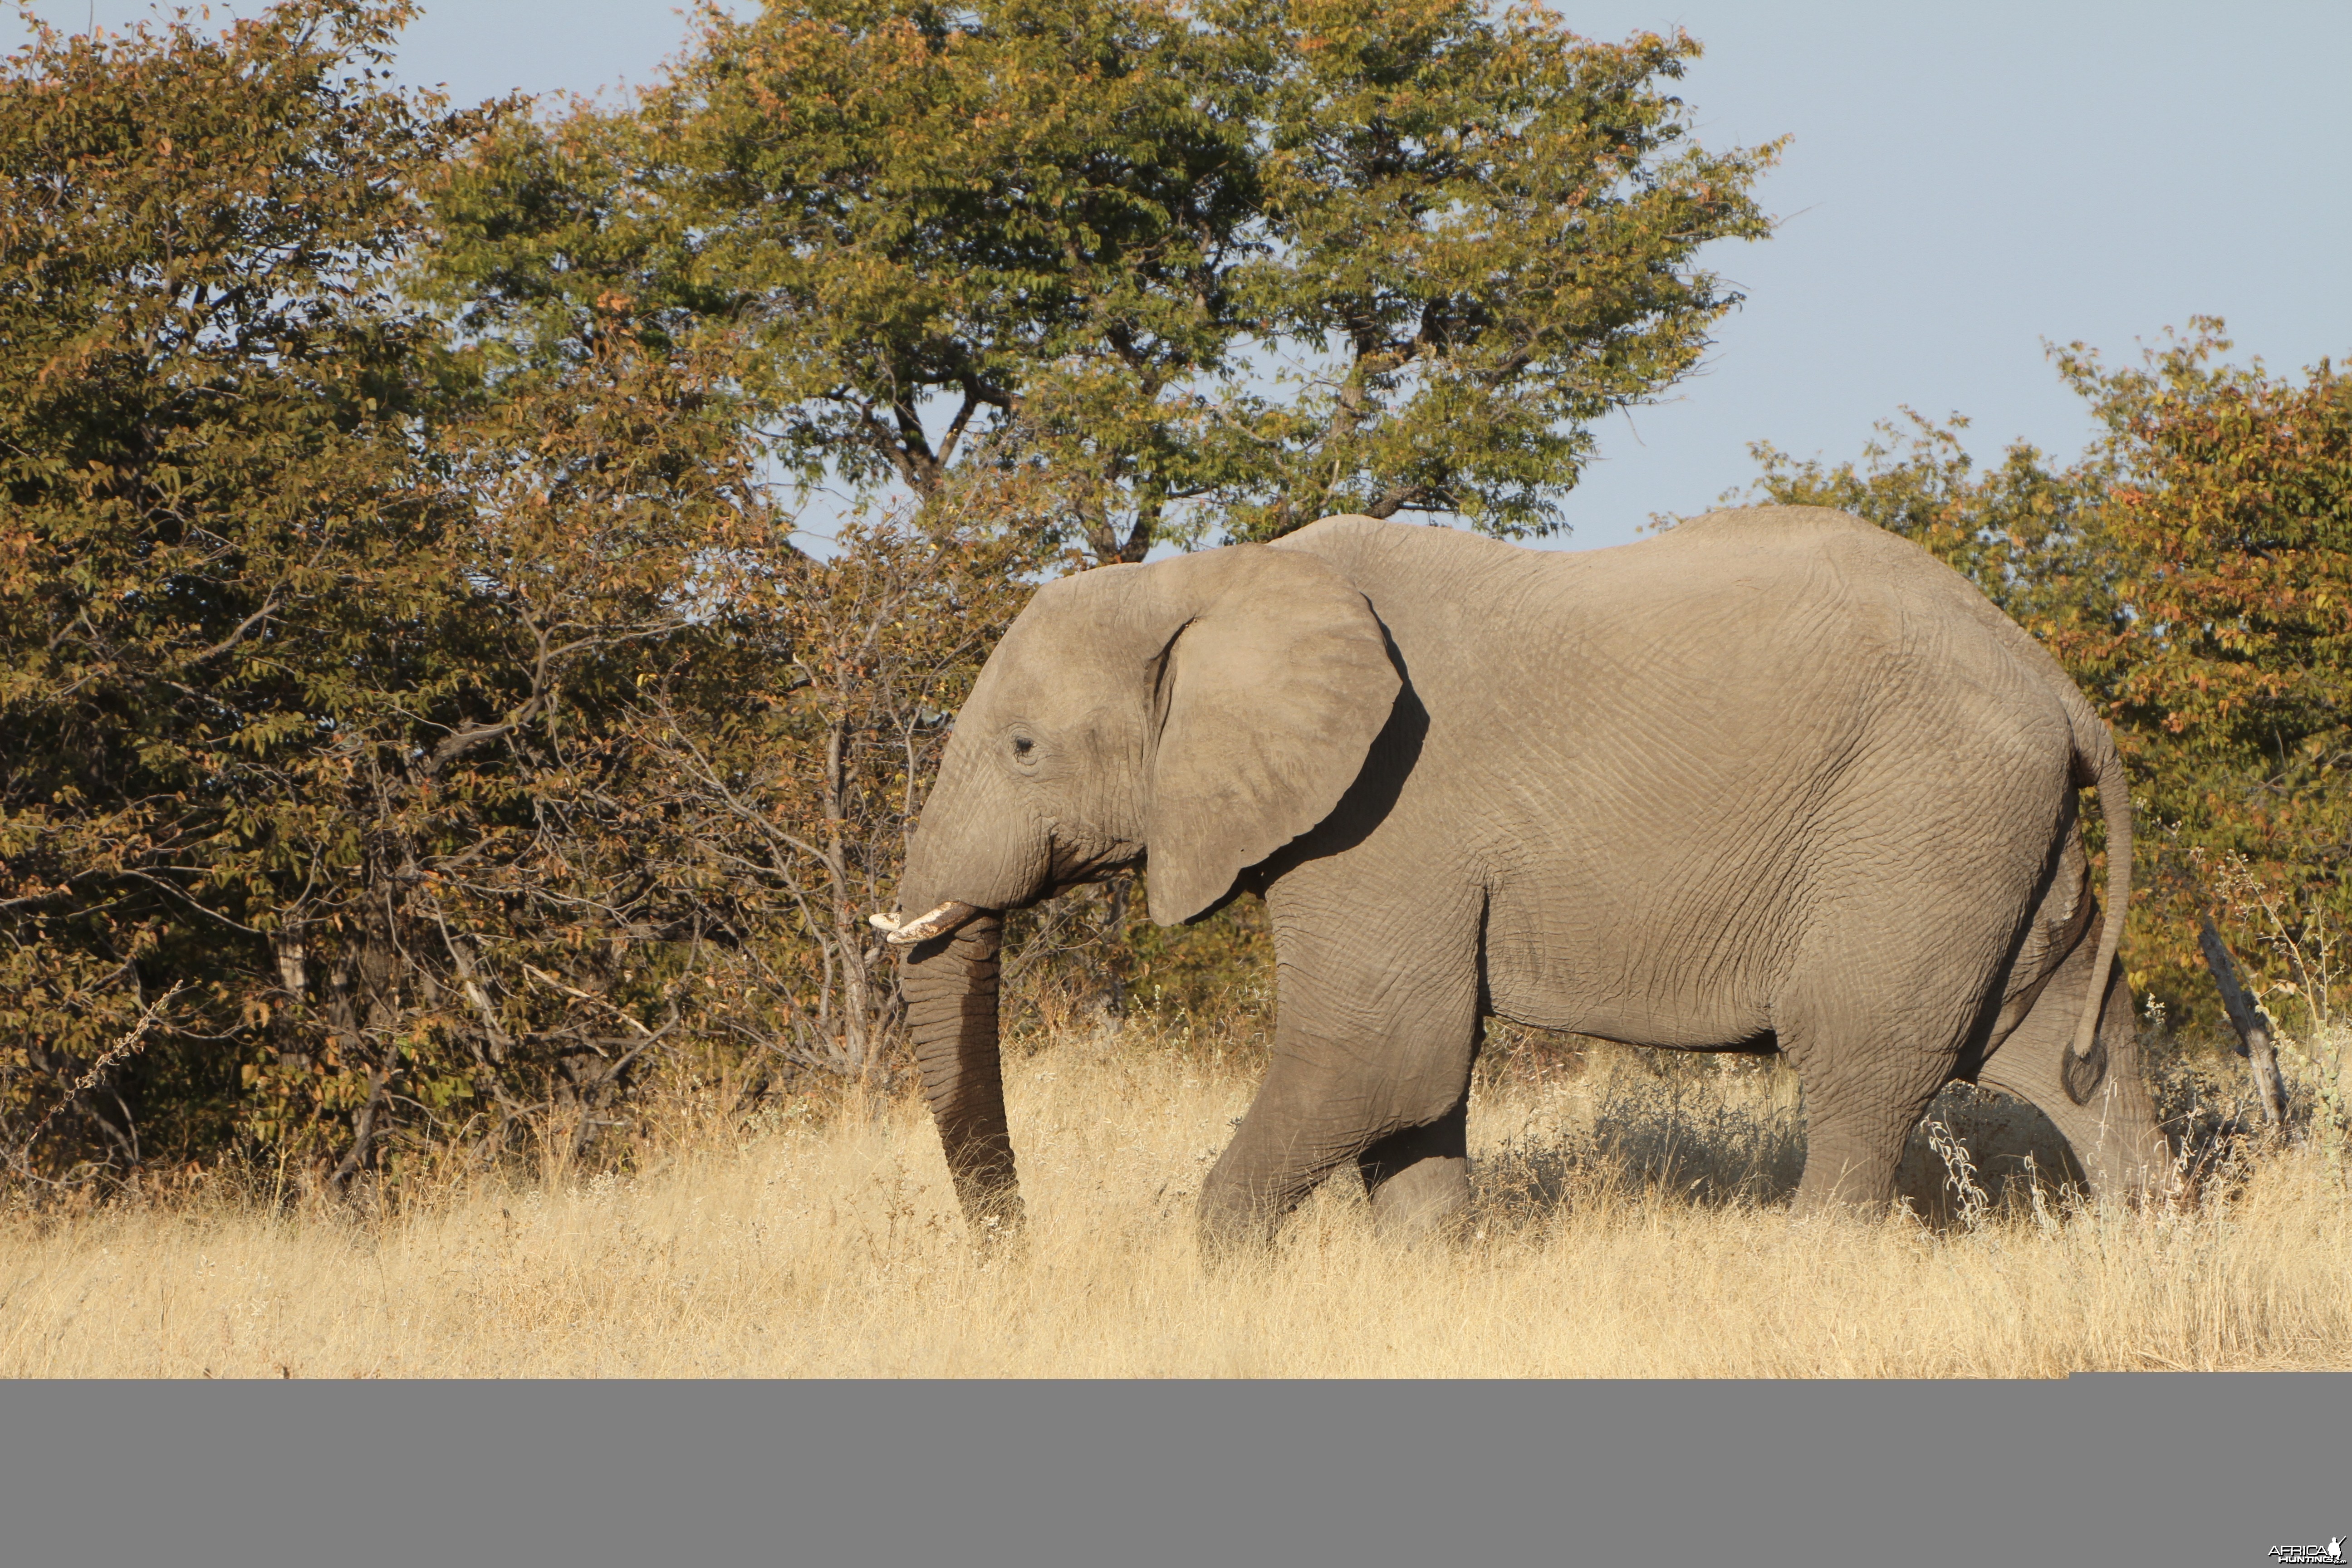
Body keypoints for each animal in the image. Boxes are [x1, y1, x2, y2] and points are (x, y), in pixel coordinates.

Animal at [875, 510, 2173, 1260]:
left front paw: (1211, 1280)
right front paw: (1428, 1277)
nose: (1015, 1250)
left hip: (1916, 821)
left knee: (1862, 1058)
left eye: (1024, 748)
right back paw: (2147, 1242)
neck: (1215, 579)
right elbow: (1410, 1086)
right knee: (2065, 1038)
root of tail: (2061, 686)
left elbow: (1382, 1052)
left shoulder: (1389, 811)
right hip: (1992, 837)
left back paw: (1803, 1271)